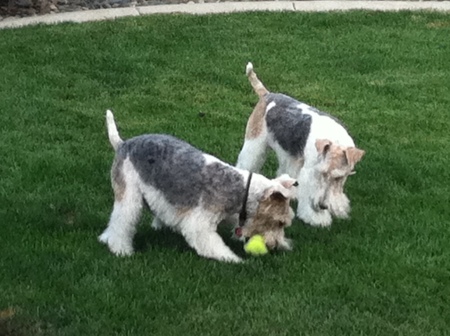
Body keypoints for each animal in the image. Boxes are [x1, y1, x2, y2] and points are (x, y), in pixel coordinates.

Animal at [98, 110, 298, 262]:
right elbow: (214, 245)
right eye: (280, 222)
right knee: (121, 222)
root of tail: (123, 143)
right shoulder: (199, 224)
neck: (241, 189)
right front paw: (234, 259)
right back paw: (121, 249)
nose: (277, 245)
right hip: (129, 194)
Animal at [236, 62, 366, 226]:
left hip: (290, 154)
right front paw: (316, 218)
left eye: (338, 178)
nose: (323, 206)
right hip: (255, 144)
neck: (335, 138)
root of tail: (267, 94)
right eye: (322, 173)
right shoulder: (310, 172)